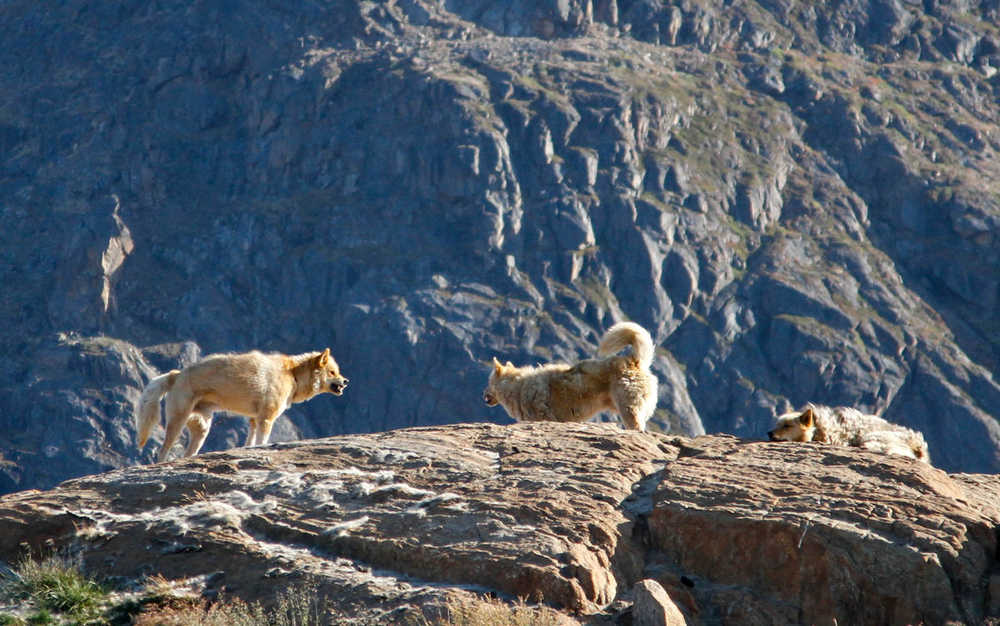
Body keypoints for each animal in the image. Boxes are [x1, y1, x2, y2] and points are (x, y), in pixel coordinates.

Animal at [137, 348, 348, 460]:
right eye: (332, 372)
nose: (346, 381)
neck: (293, 376)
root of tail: (176, 374)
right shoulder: (266, 419)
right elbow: (262, 442)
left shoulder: (254, 420)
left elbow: (250, 443)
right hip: (177, 422)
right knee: (163, 450)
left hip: (202, 429)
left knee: (187, 454)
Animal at [482, 322, 656, 428]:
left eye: (488, 383)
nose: (483, 394)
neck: (517, 387)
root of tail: (634, 361)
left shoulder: (545, 417)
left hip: (628, 408)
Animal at [772, 402, 928, 460]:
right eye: (777, 424)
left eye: (787, 426)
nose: (769, 433)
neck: (819, 427)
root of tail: (918, 445)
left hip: (873, 437)